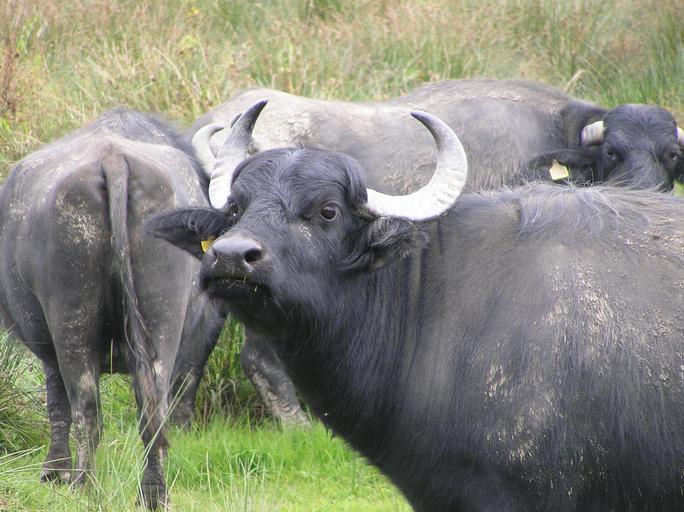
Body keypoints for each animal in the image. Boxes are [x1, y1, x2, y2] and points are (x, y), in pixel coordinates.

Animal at [0, 109, 224, 509]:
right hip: (162, 320)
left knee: (86, 408)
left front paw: (53, 472)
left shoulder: (45, 348)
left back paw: (82, 486)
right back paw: (153, 494)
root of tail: (114, 159)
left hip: (70, 322)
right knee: (153, 411)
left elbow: (56, 403)